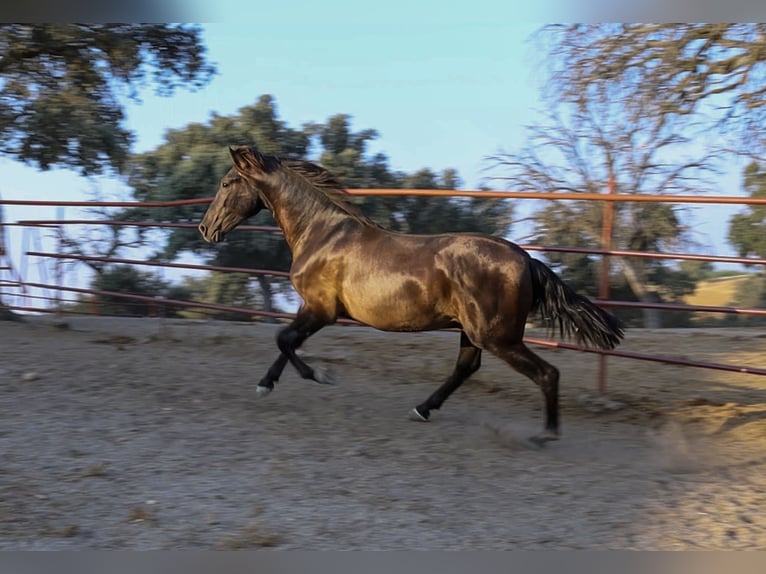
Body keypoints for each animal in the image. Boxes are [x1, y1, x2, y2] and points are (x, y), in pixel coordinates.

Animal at [200, 145, 624, 446]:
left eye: (225, 184)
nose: (206, 229)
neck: (323, 234)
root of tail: (525, 258)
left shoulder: (322, 310)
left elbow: (284, 340)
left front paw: (321, 375)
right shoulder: (310, 307)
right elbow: (284, 341)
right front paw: (266, 384)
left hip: (497, 337)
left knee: (546, 373)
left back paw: (544, 435)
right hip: (472, 332)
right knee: (466, 369)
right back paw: (422, 409)